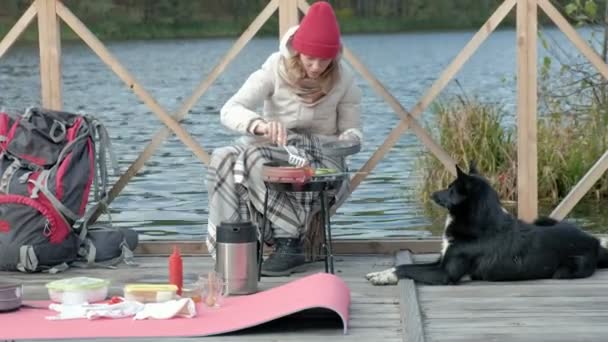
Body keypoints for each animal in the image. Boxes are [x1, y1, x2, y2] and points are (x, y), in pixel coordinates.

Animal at [366, 164, 608, 284]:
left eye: (451, 188)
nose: (433, 194)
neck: (480, 226)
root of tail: (594, 242)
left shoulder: (445, 274)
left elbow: (406, 268)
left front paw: (385, 276)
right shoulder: (440, 261)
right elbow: (408, 266)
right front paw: (381, 273)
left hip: (565, 271)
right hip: (543, 220)